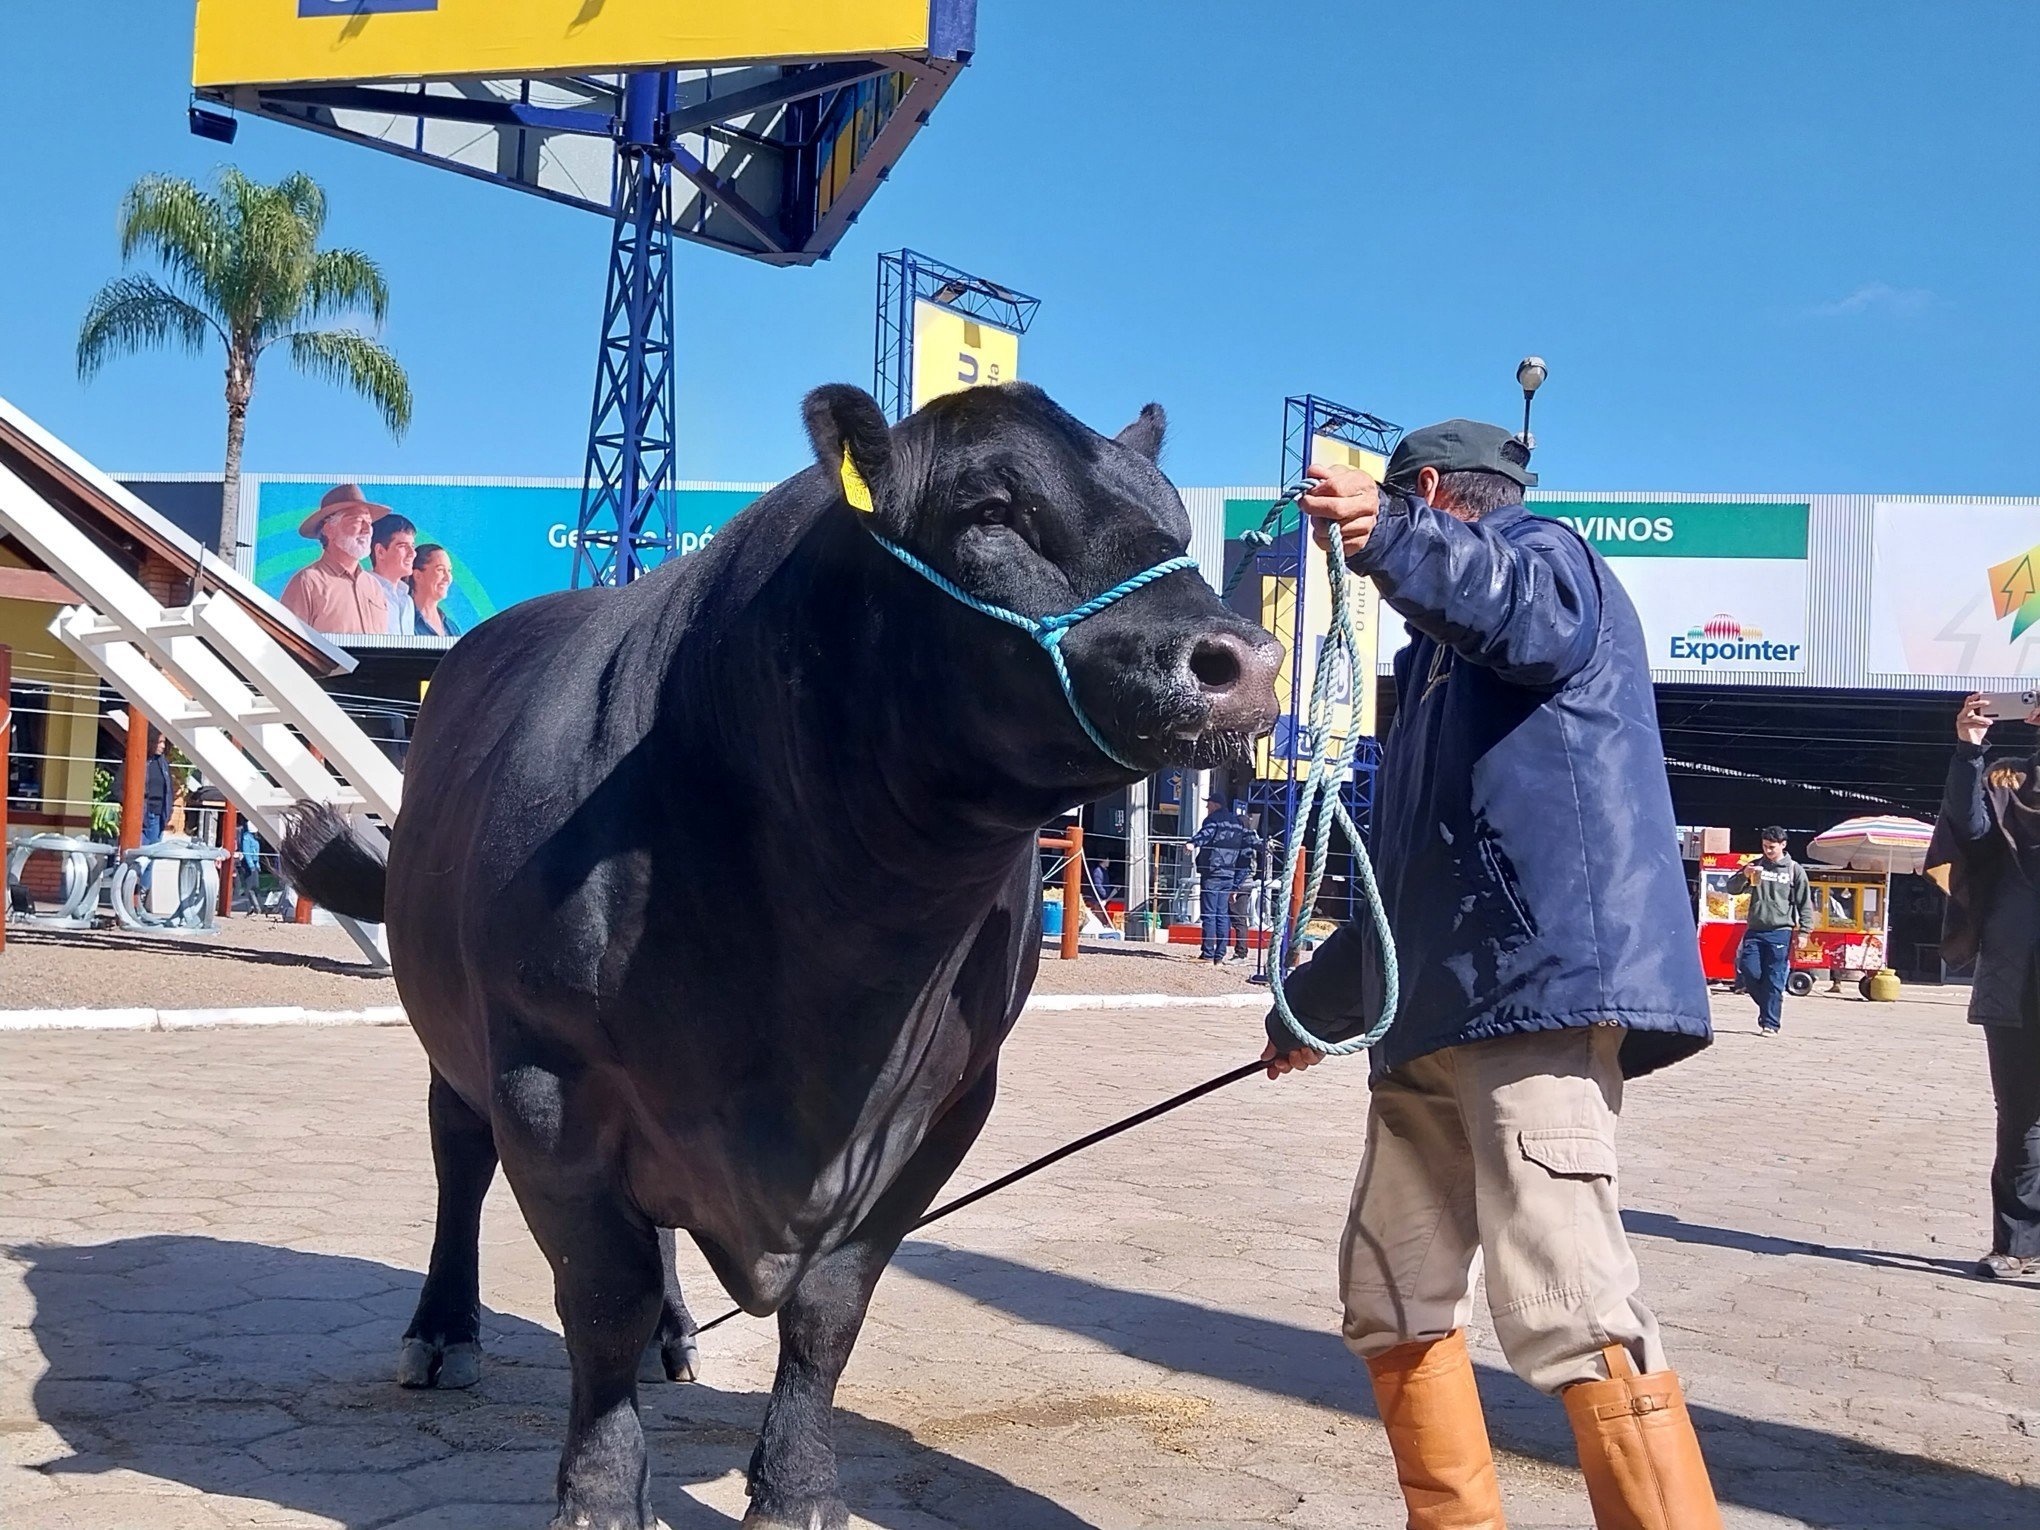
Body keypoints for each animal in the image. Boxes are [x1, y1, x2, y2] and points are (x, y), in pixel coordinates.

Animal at [283, 385, 1272, 1530]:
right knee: (459, 1159)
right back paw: (443, 1332)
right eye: (991, 509)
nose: (1245, 661)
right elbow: (600, 1297)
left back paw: (675, 1336)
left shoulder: (949, 1101)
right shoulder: (545, 1075)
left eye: (1177, 522)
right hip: (457, 1037)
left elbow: (829, 1306)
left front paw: (796, 1485)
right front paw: (600, 1493)